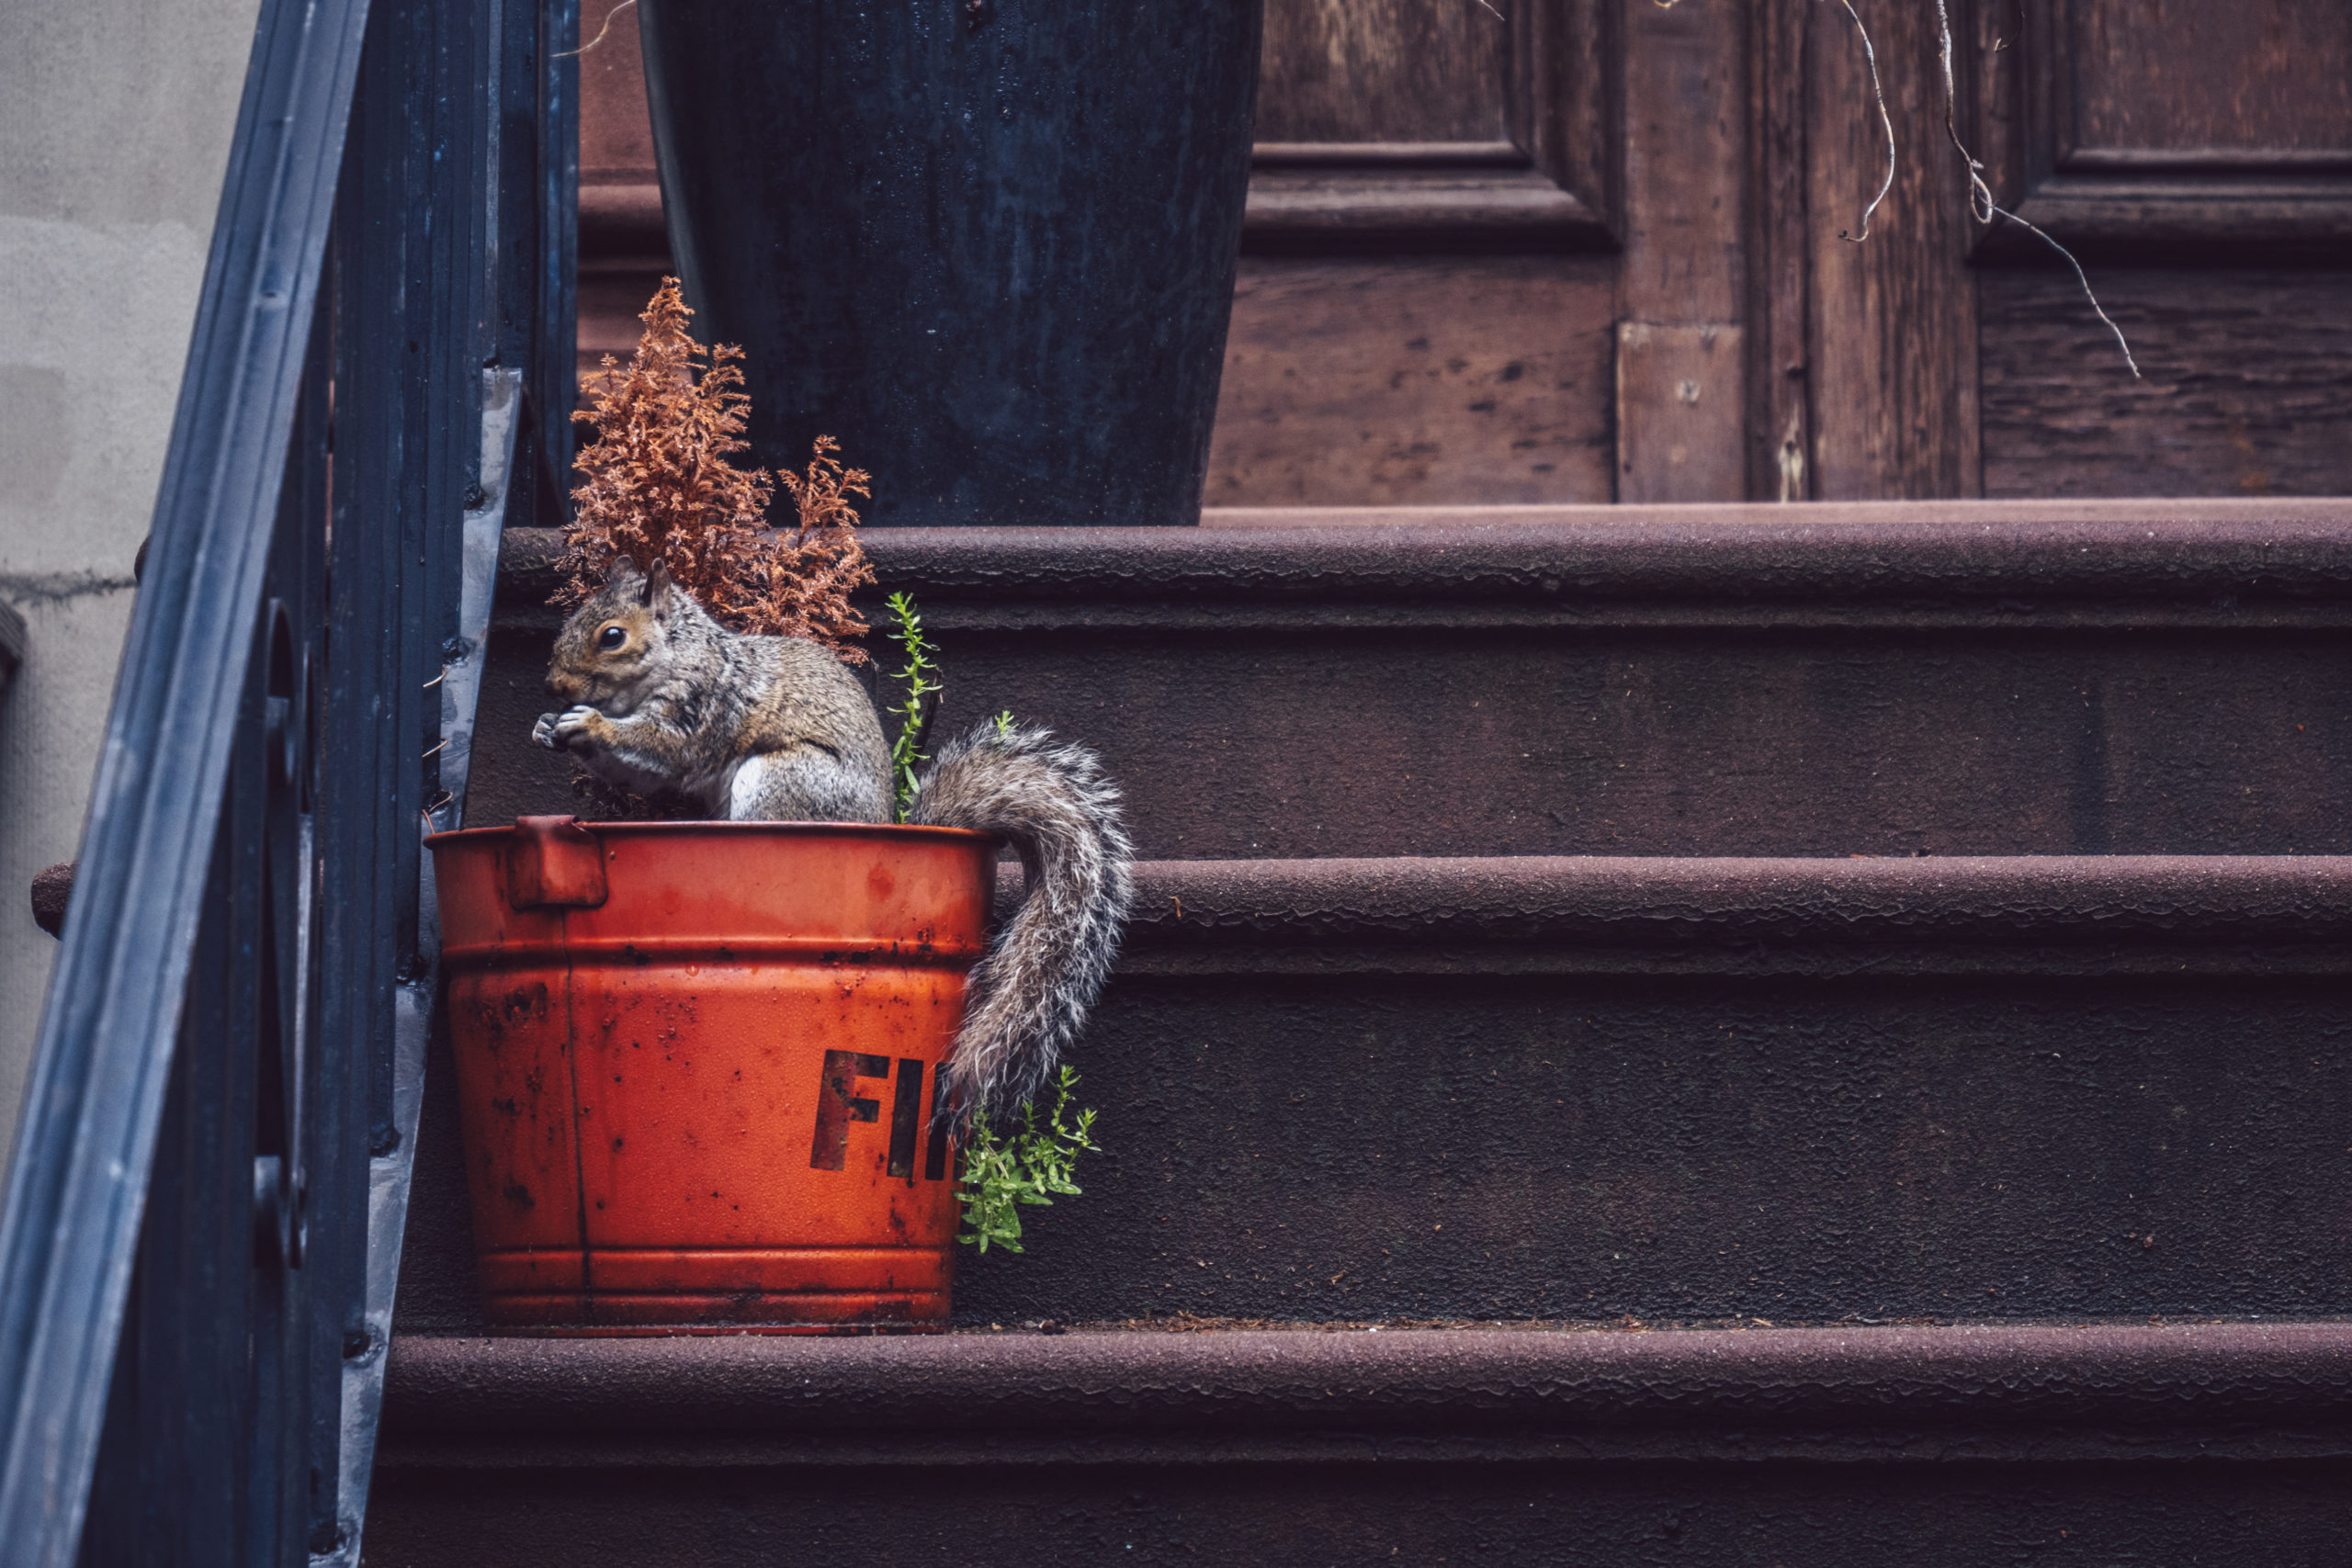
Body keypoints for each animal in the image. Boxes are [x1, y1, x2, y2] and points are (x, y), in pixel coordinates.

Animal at [538, 557, 1133, 1123]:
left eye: (612, 636)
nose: (555, 688)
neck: (680, 656)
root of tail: (884, 823)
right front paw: (548, 727)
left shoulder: (701, 710)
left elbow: (659, 749)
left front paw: (590, 725)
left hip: (782, 780)